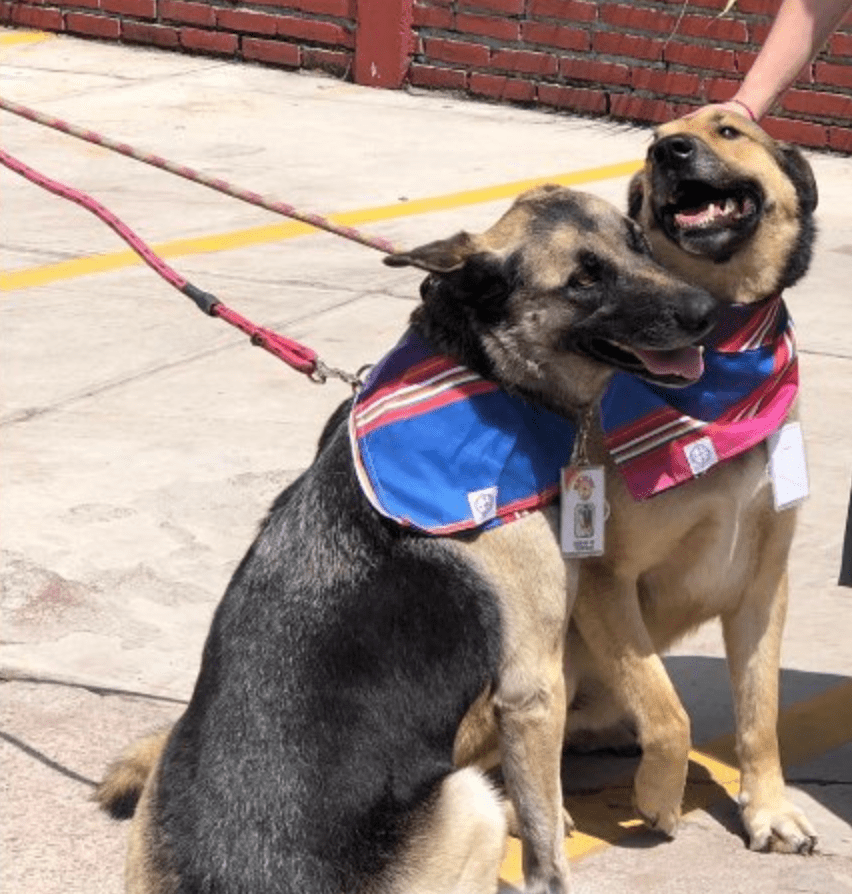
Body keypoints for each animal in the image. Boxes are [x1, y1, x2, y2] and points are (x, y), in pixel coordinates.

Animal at [95, 184, 720, 894]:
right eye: (583, 279)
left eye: (639, 242)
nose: (709, 311)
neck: (484, 371)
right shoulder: (533, 689)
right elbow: (546, 848)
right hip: (468, 800)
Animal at [564, 108, 820, 856]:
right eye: (651, 147)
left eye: (729, 129)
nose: (670, 151)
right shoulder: (606, 578)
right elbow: (667, 709)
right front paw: (659, 796)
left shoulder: (764, 584)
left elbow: (759, 716)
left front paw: (769, 809)